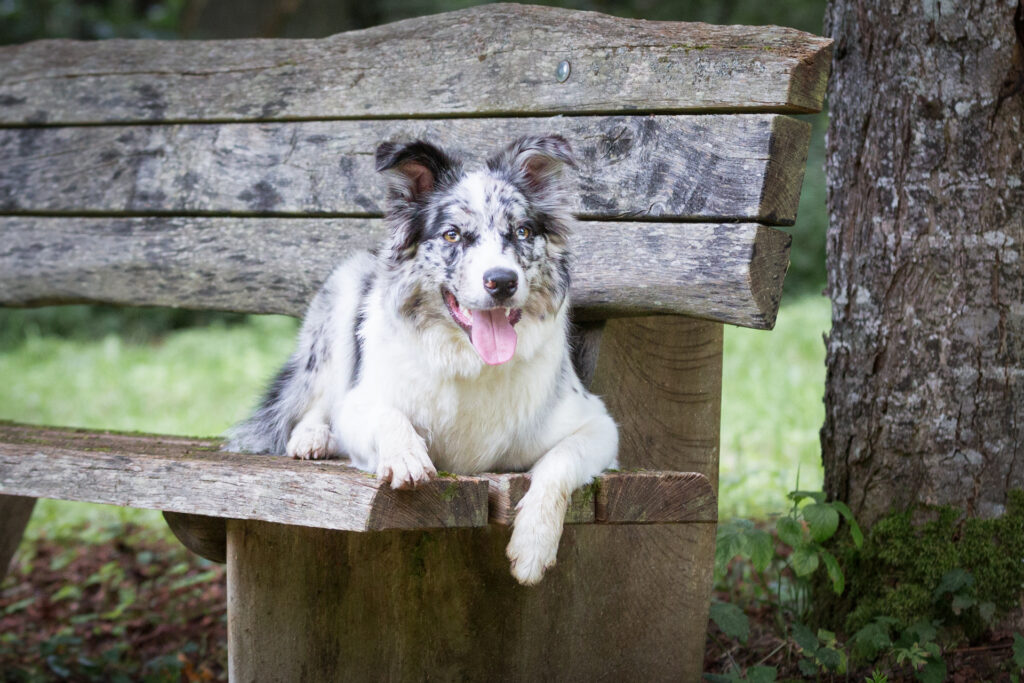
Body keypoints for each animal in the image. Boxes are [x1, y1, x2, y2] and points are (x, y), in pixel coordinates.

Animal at [226, 135, 614, 589]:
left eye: (521, 231)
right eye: (452, 235)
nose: (502, 282)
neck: (469, 362)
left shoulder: (599, 426)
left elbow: (558, 463)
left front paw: (534, 545)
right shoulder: (359, 404)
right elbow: (385, 415)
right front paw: (406, 455)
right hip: (342, 296)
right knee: (319, 401)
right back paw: (313, 438)